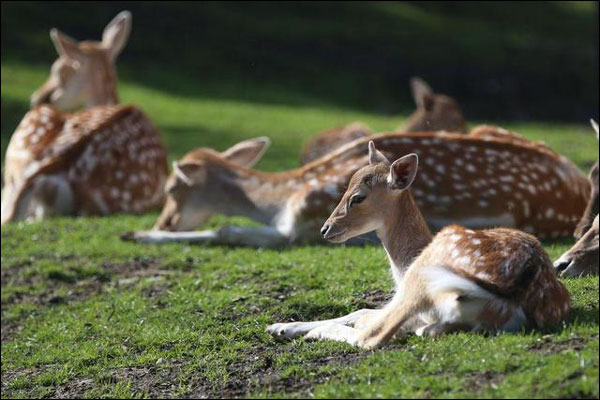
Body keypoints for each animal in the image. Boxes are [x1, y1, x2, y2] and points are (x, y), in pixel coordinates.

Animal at [124, 128, 588, 247]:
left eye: (172, 187)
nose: (163, 223)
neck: (283, 199)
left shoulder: (300, 226)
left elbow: (226, 229)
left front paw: (136, 234)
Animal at [268, 142, 572, 348]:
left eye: (358, 197)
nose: (326, 229)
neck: (402, 264)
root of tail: (514, 285)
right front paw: (281, 327)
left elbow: (362, 312)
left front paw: (281, 327)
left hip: (424, 277)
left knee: (373, 336)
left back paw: (316, 333)